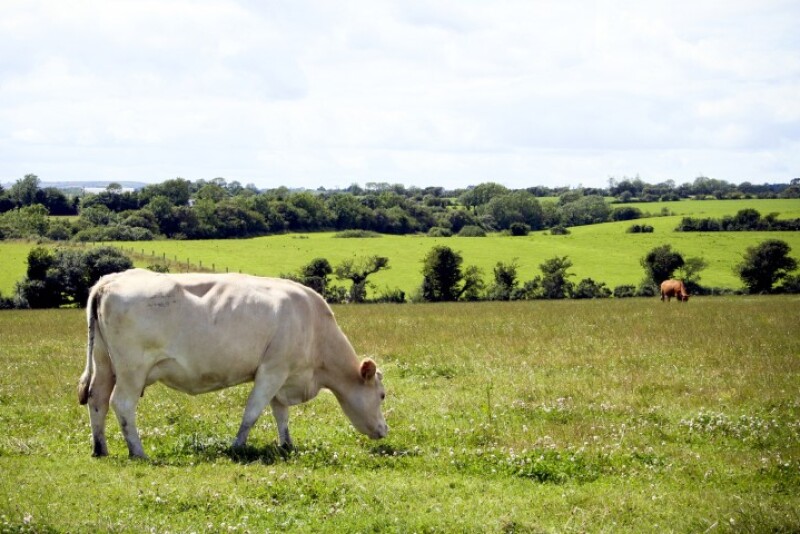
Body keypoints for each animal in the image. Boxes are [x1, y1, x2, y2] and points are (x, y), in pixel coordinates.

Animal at [77, 269, 388, 459]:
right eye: (382, 395)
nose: (385, 429)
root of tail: (110, 280)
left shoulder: (283, 375)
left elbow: (281, 413)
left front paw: (286, 445)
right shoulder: (272, 370)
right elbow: (252, 412)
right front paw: (237, 446)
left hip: (104, 363)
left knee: (97, 399)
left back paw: (100, 448)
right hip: (132, 370)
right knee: (122, 404)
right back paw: (138, 451)